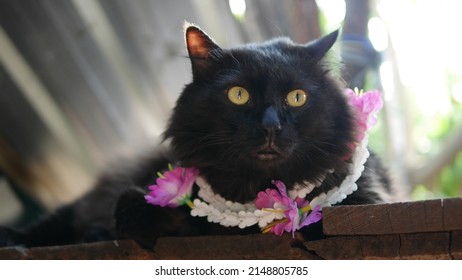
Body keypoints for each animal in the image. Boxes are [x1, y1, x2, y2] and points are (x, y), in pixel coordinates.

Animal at [0, 23, 394, 248]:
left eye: (297, 97)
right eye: (238, 95)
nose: (270, 126)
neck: (256, 187)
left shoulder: (367, 201)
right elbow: (144, 209)